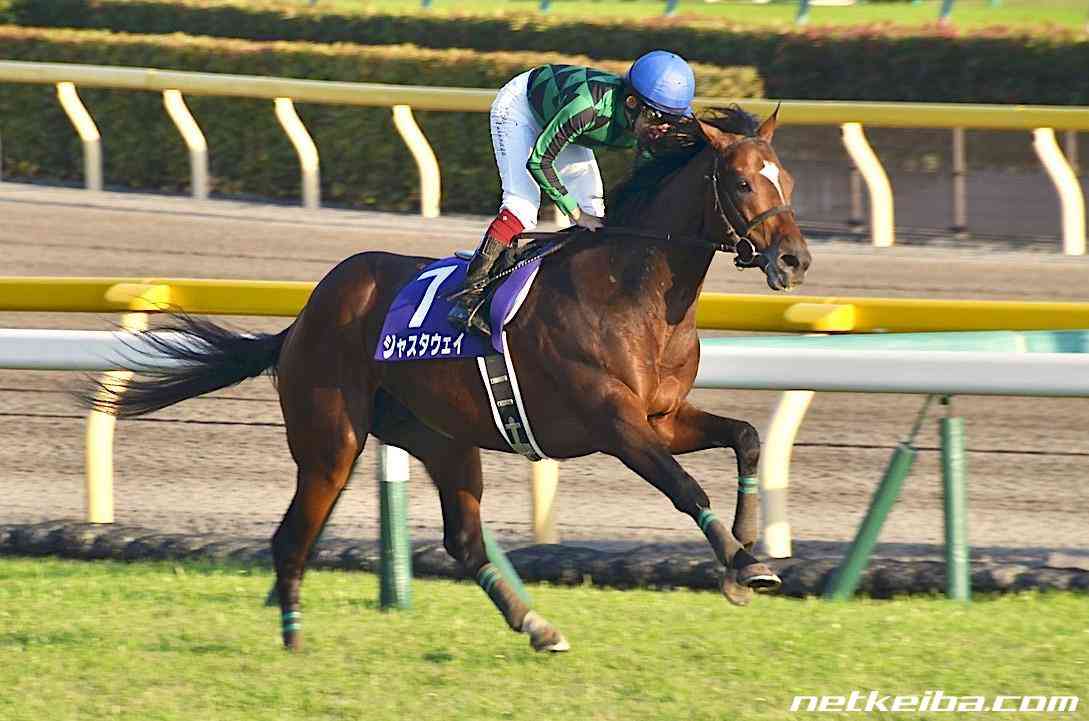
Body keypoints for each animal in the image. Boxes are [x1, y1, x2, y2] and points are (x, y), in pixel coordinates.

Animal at [86, 105, 811, 653]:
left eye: (788, 179)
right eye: (742, 183)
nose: (794, 259)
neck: (631, 288)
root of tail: (303, 319)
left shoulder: (663, 416)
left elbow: (746, 437)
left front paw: (745, 556)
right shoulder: (614, 423)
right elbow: (684, 486)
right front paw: (746, 564)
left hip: (444, 438)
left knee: (462, 540)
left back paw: (538, 625)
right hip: (331, 440)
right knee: (293, 534)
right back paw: (292, 637)